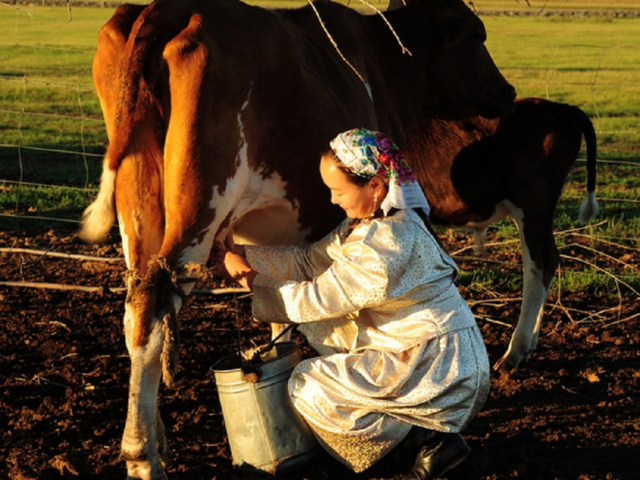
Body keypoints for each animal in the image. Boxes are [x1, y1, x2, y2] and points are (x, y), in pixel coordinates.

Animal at [79, 0, 516, 476]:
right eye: (477, 35)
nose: (508, 92)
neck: (381, 60)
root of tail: (170, 8)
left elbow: (280, 307)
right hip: (199, 205)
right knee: (155, 308)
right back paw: (142, 456)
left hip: (137, 213)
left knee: (135, 313)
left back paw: (155, 439)